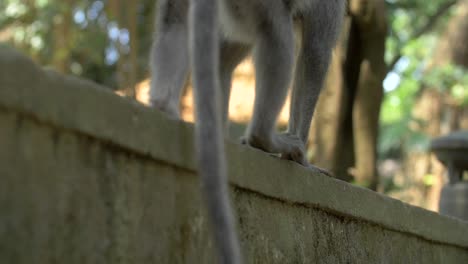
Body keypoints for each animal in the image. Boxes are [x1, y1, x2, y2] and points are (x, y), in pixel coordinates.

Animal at [149, 1, 344, 262]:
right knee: (278, 35)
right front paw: (301, 160)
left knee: (178, 23)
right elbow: (316, 53)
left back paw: (166, 107)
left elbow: (227, 53)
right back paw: (262, 137)